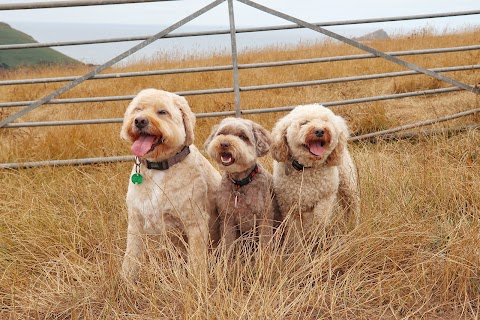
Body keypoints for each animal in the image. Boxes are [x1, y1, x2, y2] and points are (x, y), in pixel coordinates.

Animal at [119, 88, 219, 280]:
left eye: (162, 112)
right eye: (138, 109)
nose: (140, 121)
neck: (159, 167)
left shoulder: (195, 223)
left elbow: (196, 260)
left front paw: (197, 282)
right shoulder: (135, 221)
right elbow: (131, 255)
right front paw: (127, 279)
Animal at [204, 117, 280, 250]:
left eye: (243, 136)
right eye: (222, 133)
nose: (224, 144)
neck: (240, 183)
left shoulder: (264, 217)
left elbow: (265, 243)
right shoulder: (227, 219)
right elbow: (228, 244)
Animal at [272, 104, 358, 241]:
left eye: (325, 121)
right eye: (304, 123)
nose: (320, 131)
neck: (308, 169)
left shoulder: (326, 198)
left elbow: (319, 219)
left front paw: (315, 236)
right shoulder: (289, 206)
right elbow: (294, 231)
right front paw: (295, 244)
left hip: (348, 184)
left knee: (351, 206)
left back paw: (352, 225)